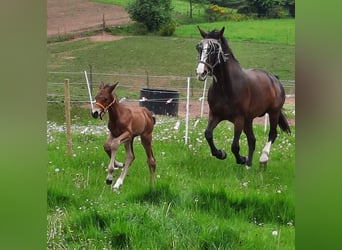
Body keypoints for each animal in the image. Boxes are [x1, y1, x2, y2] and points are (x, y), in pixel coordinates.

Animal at [196, 26, 290, 168]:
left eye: (215, 49)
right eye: (199, 48)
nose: (201, 72)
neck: (225, 88)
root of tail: (274, 79)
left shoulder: (238, 119)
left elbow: (235, 146)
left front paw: (240, 159)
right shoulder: (215, 115)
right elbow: (208, 134)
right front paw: (221, 154)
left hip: (273, 113)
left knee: (272, 134)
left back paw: (262, 159)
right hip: (249, 120)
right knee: (252, 140)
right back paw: (248, 165)